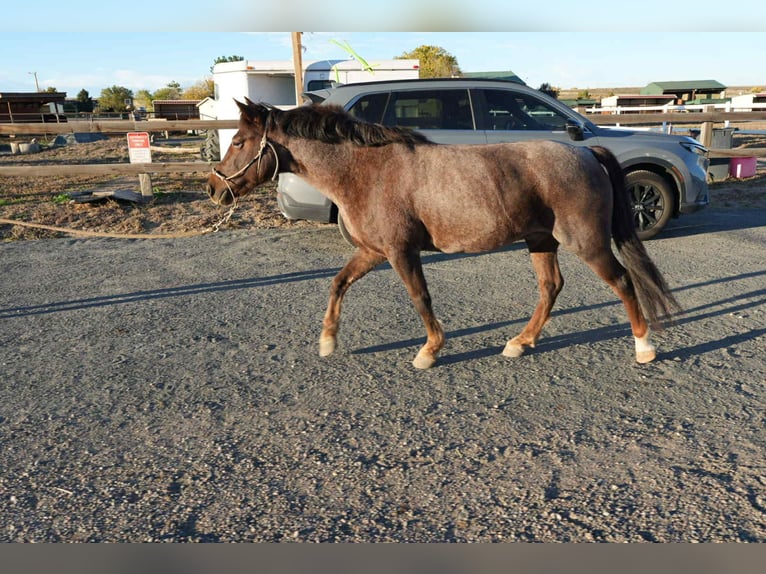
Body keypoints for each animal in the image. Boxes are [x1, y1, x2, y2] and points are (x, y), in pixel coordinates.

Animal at [206, 98, 681, 369]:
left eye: (238, 141)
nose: (214, 188)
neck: (368, 172)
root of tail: (584, 151)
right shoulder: (373, 251)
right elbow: (337, 283)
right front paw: (327, 341)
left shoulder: (401, 251)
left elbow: (420, 298)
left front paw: (429, 351)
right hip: (541, 240)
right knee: (551, 287)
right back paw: (520, 343)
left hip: (585, 241)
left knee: (622, 281)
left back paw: (644, 348)